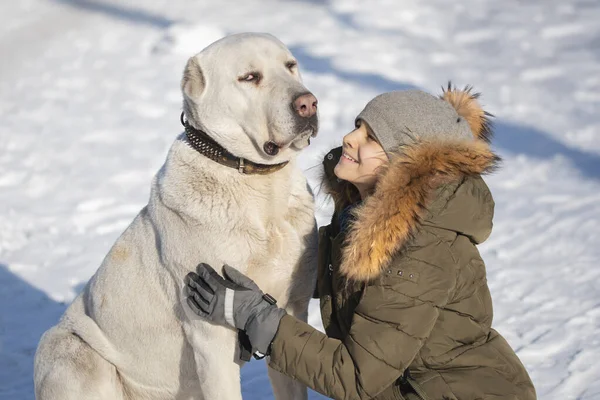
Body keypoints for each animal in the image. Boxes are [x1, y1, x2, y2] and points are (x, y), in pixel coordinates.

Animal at [34, 33, 318, 400]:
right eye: (250, 77)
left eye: (290, 65)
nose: (307, 104)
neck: (258, 186)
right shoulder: (211, 334)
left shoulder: (291, 310)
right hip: (70, 351)